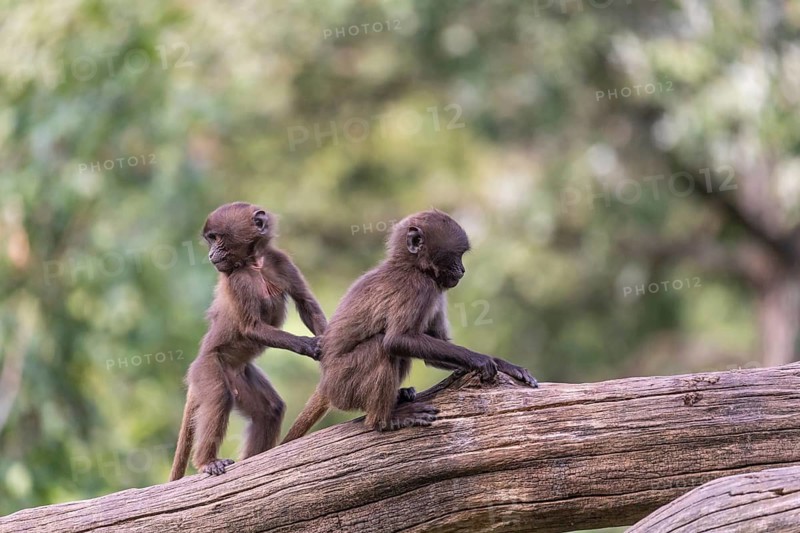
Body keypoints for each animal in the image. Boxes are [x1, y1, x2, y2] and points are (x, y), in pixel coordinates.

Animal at [169, 202, 327, 481]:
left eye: (216, 238)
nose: (211, 255)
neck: (254, 263)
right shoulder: (236, 279)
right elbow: (251, 327)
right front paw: (308, 345)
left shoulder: (281, 261)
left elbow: (306, 304)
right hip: (207, 368)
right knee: (219, 396)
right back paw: (207, 461)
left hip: (240, 375)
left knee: (270, 410)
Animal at [282, 209, 537, 442]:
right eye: (457, 255)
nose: (462, 271)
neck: (413, 266)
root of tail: (325, 384)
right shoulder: (420, 287)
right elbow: (398, 340)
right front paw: (482, 361)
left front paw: (504, 365)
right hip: (343, 385)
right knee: (381, 347)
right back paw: (384, 420)